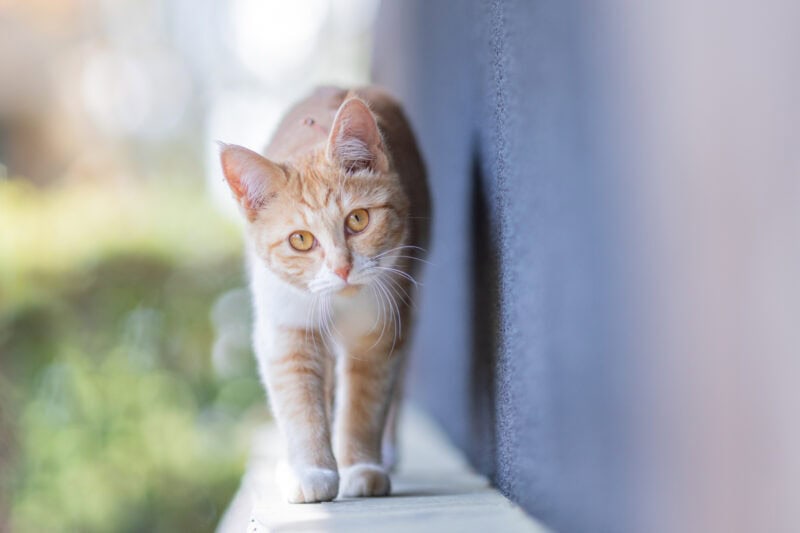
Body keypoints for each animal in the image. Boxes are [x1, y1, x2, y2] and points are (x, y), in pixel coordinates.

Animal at [219, 85, 428, 500]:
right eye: (300, 240)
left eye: (358, 220)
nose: (342, 268)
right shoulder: (287, 330)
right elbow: (301, 404)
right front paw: (312, 471)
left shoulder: (379, 328)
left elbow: (365, 403)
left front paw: (361, 467)